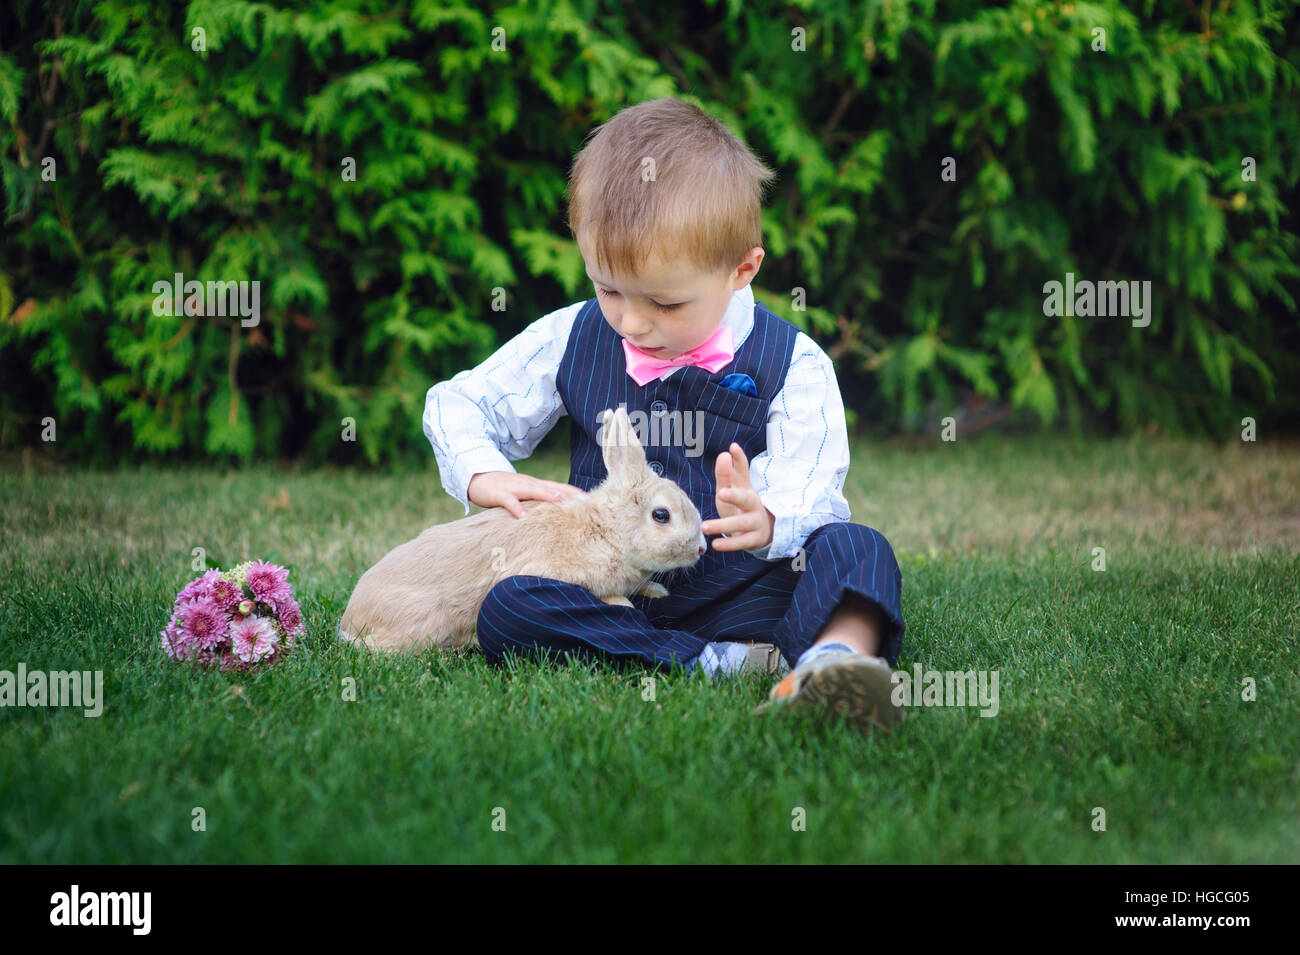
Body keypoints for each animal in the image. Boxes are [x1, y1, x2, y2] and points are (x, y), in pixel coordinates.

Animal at [335, 407, 702, 654]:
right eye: (661, 515)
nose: (700, 549)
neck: (605, 530)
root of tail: (351, 622)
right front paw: (625, 606)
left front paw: (657, 592)